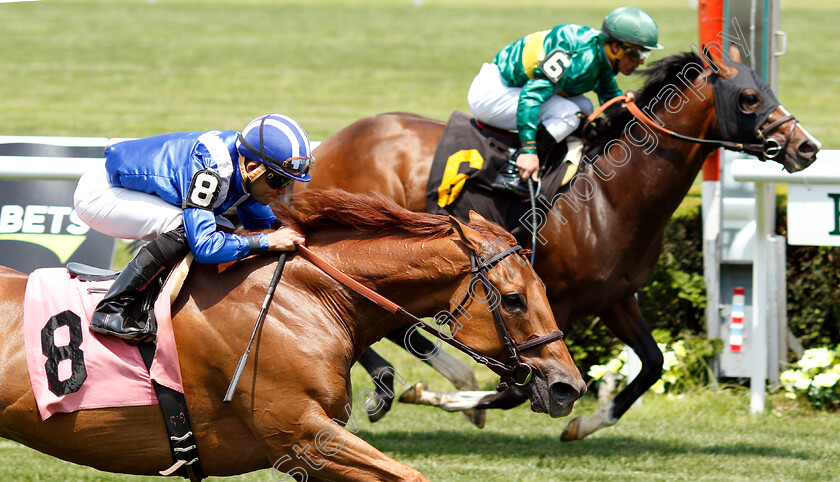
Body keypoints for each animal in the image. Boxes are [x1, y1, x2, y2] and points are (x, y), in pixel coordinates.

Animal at [300, 50, 820, 440]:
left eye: (767, 88)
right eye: (750, 98)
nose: (807, 147)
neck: (610, 195)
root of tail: (327, 145)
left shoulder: (615, 297)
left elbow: (652, 364)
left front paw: (585, 424)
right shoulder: (551, 304)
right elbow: (515, 389)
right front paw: (440, 396)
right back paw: (402, 382)